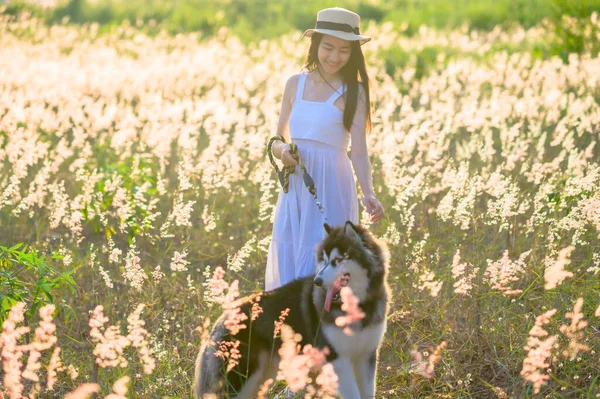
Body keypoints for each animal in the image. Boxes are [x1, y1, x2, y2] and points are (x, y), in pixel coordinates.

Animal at [192, 222, 390, 399]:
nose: (317, 281)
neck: (357, 306)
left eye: (337, 260)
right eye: (324, 261)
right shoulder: (337, 359)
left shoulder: (367, 356)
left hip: (261, 377)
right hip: (241, 376)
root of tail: (222, 318)